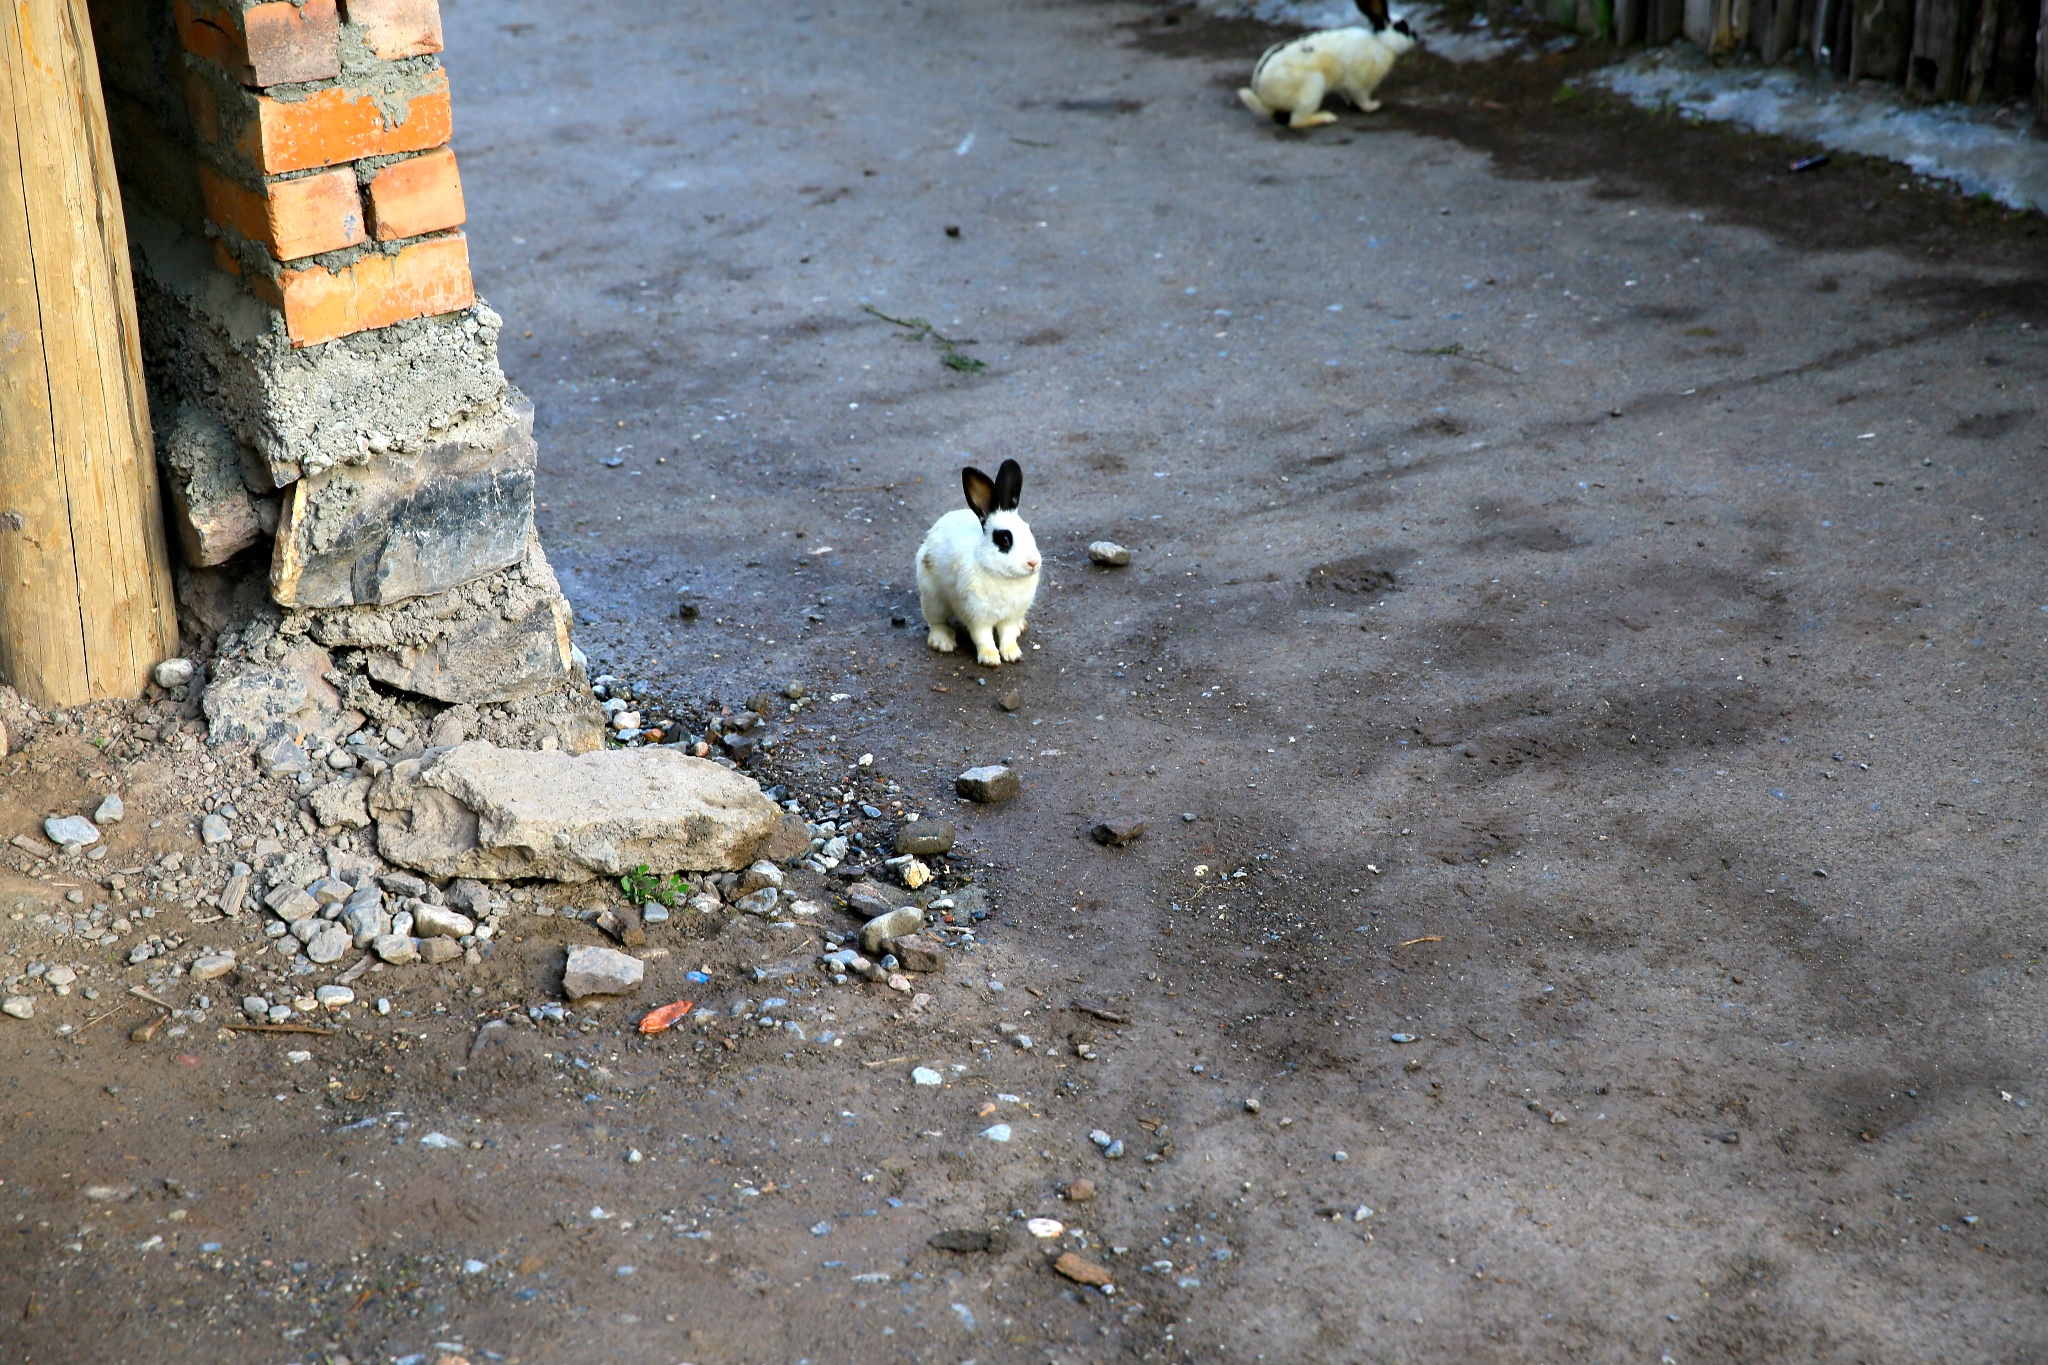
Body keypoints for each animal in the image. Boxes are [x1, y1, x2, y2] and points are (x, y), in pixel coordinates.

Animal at [917, 458, 1040, 667]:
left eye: (1029, 530)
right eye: (1004, 539)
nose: (1033, 563)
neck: (1002, 575)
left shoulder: (1011, 616)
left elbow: (1008, 635)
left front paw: (1013, 655)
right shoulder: (976, 616)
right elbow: (983, 638)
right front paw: (990, 659)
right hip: (932, 597)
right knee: (936, 621)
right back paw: (943, 642)